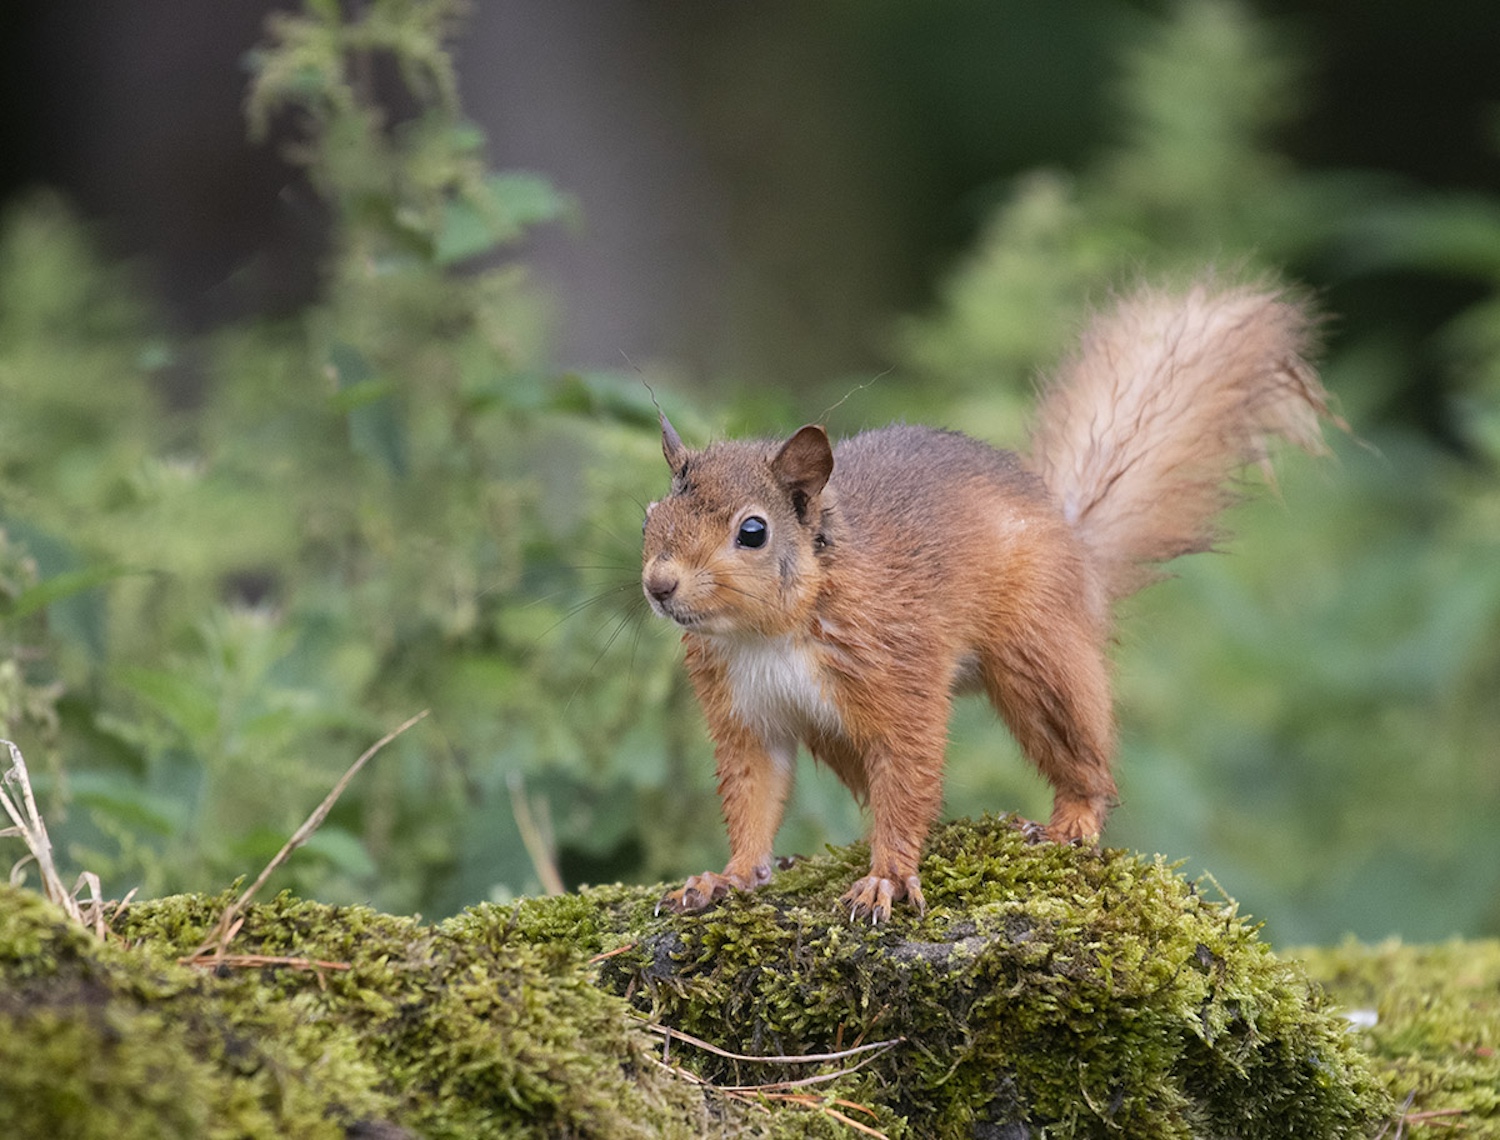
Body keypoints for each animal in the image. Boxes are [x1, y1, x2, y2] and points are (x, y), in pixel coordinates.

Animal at [639, 280, 1332, 924]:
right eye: (650, 514)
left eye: (753, 531)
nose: (658, 585)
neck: (768, 632)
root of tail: (1075, 549)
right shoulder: (744, 713)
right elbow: (752, 794)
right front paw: (728, 878)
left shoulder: (898, 668)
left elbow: (910, 770)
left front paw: (886, 879)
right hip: (840, 733)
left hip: (1036, 655)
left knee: (1081, 756)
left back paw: (1067, 823)